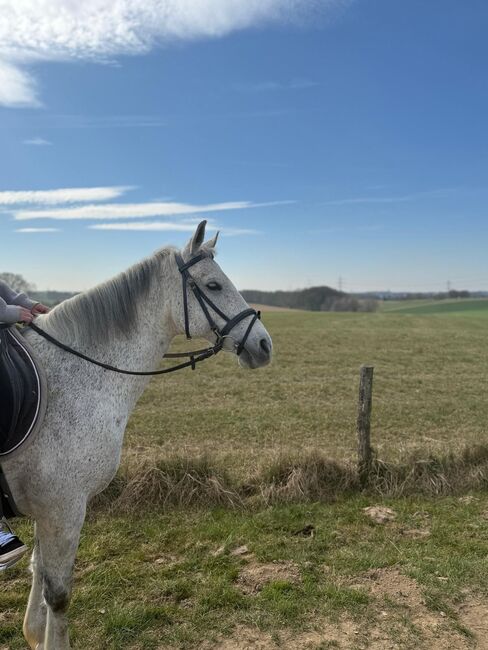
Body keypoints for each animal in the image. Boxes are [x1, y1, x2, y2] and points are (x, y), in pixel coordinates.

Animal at [1, 220, 272, 644]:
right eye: (212, 285)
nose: (263, 344)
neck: (76, 373)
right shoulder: (64, 507)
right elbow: (58, 596)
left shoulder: (48, 509)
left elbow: (38, 583)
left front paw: (33, 632)